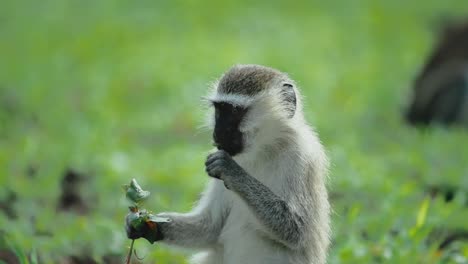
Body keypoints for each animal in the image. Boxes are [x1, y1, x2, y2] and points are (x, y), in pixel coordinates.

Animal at [126, 64, 330, 264]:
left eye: (234, 111)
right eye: (219, 109)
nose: (218, 132)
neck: (263, 149)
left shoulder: (302, 158)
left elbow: (297, 230)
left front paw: (232, 171)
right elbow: (209, 227)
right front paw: (144, 224)